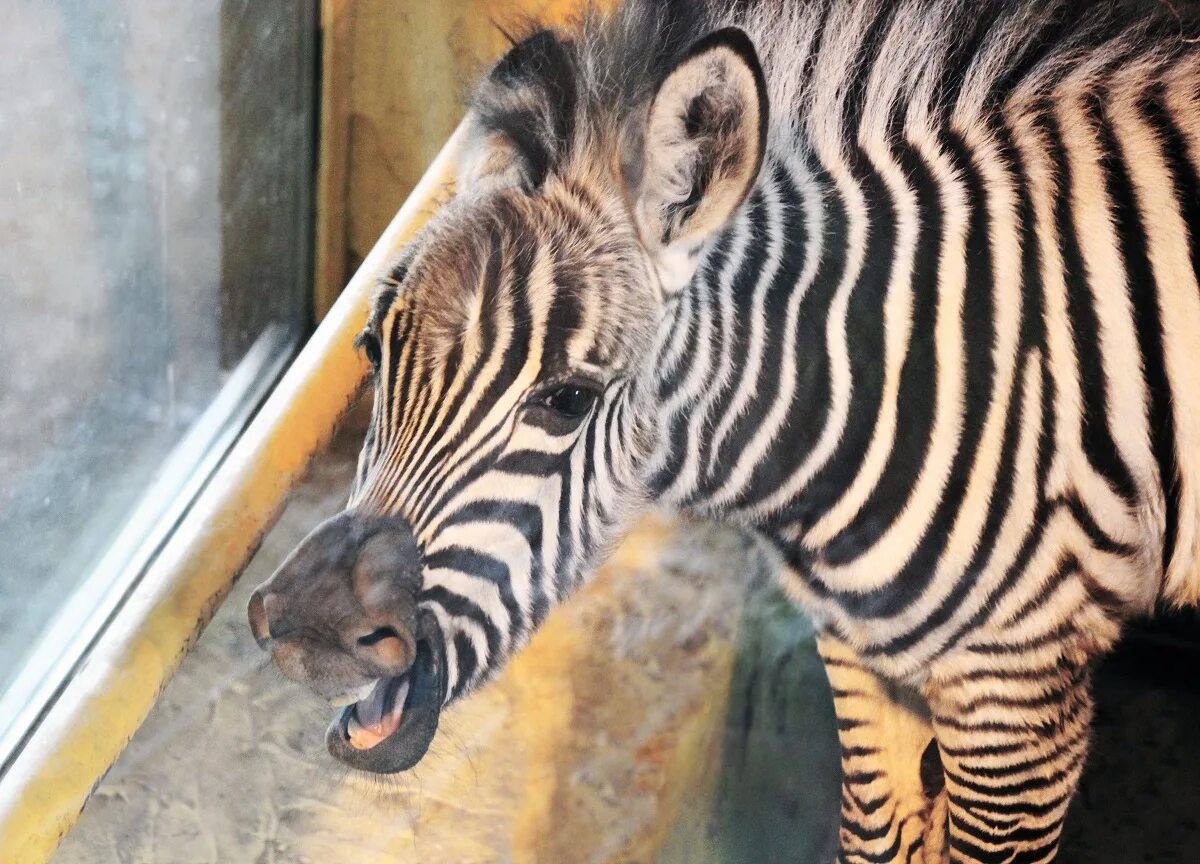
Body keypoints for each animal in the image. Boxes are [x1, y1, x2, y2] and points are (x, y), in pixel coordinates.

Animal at [248, 3, 1200, 859]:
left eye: (566, 401)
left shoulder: (1022, 695)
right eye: (374, 351)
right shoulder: (861, 655)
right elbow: (879, 834)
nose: (300, 630)